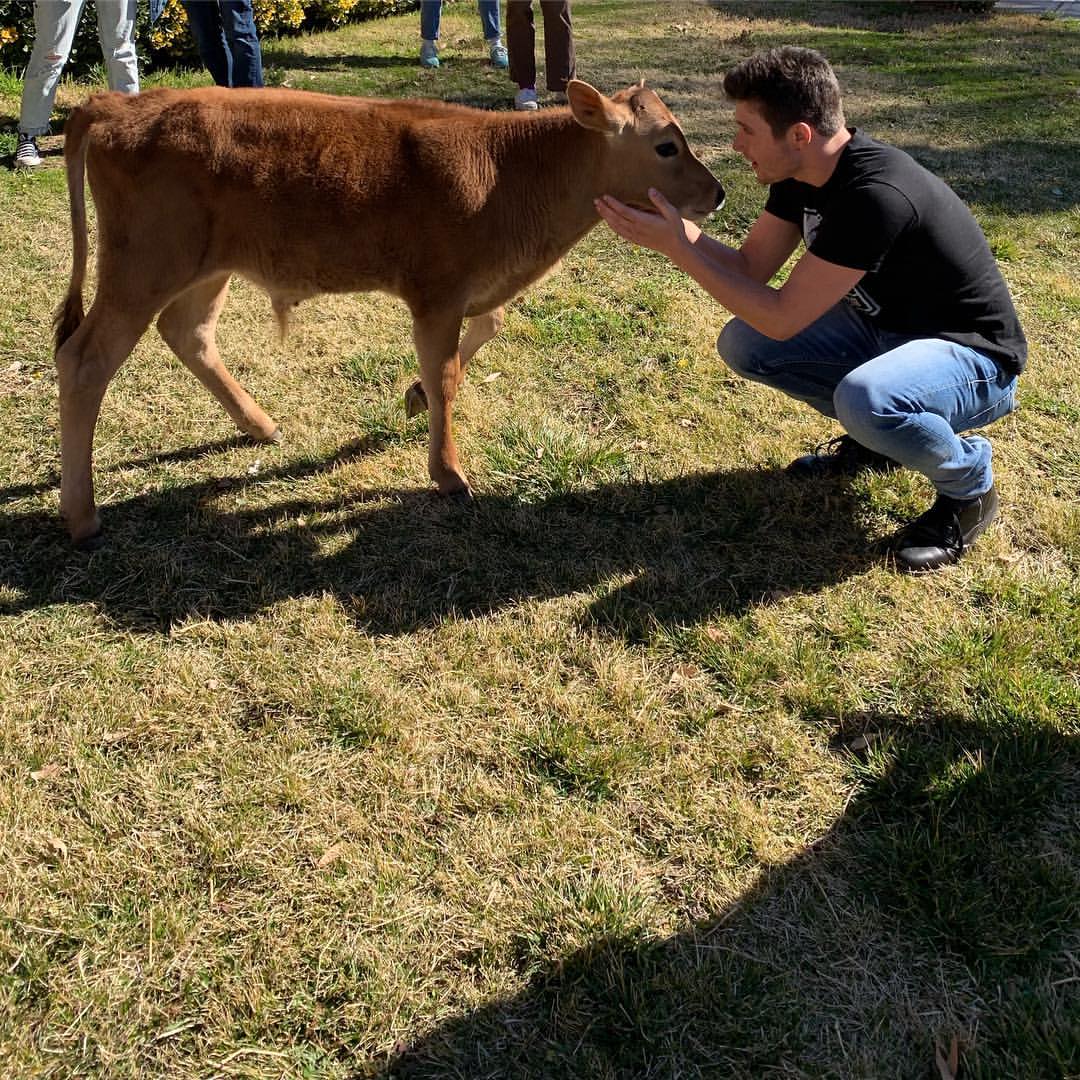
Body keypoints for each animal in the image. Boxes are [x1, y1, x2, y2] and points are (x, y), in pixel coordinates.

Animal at [54, 79, 721, 544]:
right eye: (666, 145)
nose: (715, 193)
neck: (509, 170)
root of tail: (117, 104)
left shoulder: (468, 294)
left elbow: (486, 328)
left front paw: (414, 397)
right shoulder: (436, 293)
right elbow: (446, 373)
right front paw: (448, 472)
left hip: (206, 266)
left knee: (187, 332)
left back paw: (261, 425)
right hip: (143, 267)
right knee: (85, 361)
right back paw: (82, 516)